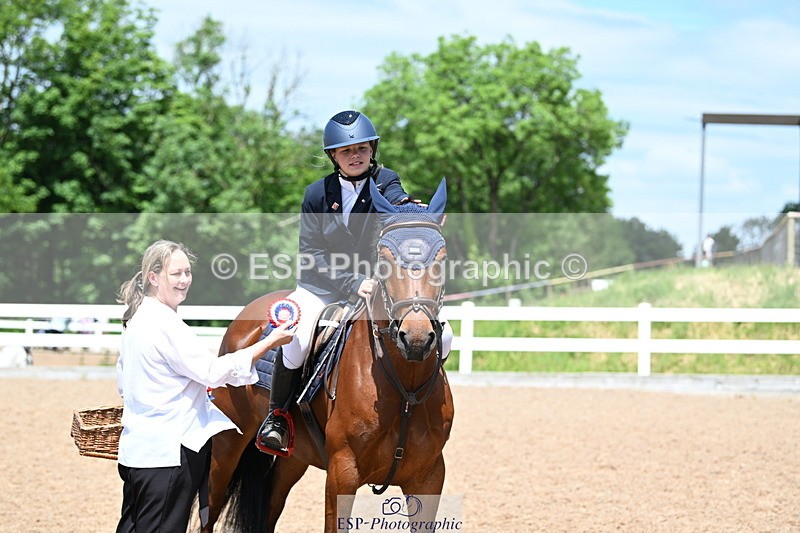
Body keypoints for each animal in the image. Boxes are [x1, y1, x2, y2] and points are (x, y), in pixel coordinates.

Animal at [202, 179, 454, 533]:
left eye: (442, 259)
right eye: (384, 260)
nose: (416, 339)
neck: (406, 387)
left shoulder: (429, 476)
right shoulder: (342, 473)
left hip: (294, 459)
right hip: (227, 443)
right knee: (209, 508)